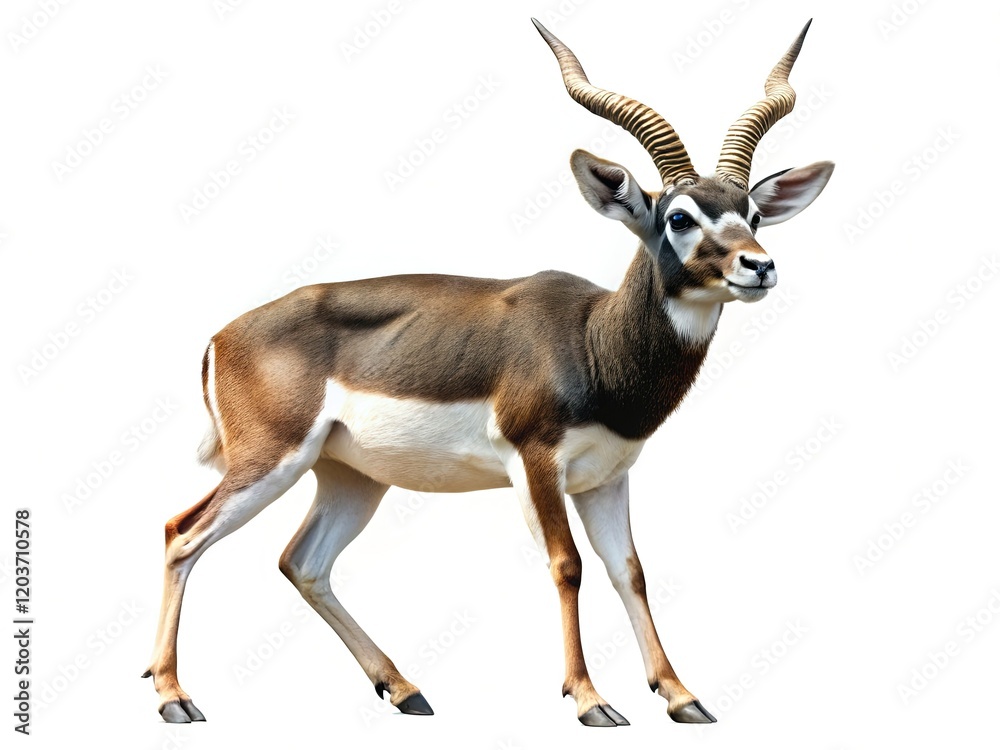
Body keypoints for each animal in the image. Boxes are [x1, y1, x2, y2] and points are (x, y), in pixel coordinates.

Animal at [144, 18, 833, 727]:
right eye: (678, 217)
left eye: (753, 214)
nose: (758, 266)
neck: (592, 341)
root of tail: (222, 336)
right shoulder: (535, 462)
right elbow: (567, 565)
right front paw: (591, 700)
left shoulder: (606, 478)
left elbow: (630, 570)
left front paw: (682, 696)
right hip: (271, 460)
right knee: (182, 535)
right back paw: (174, 698)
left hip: (350, 476)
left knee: (302, 562)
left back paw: (406, 690)